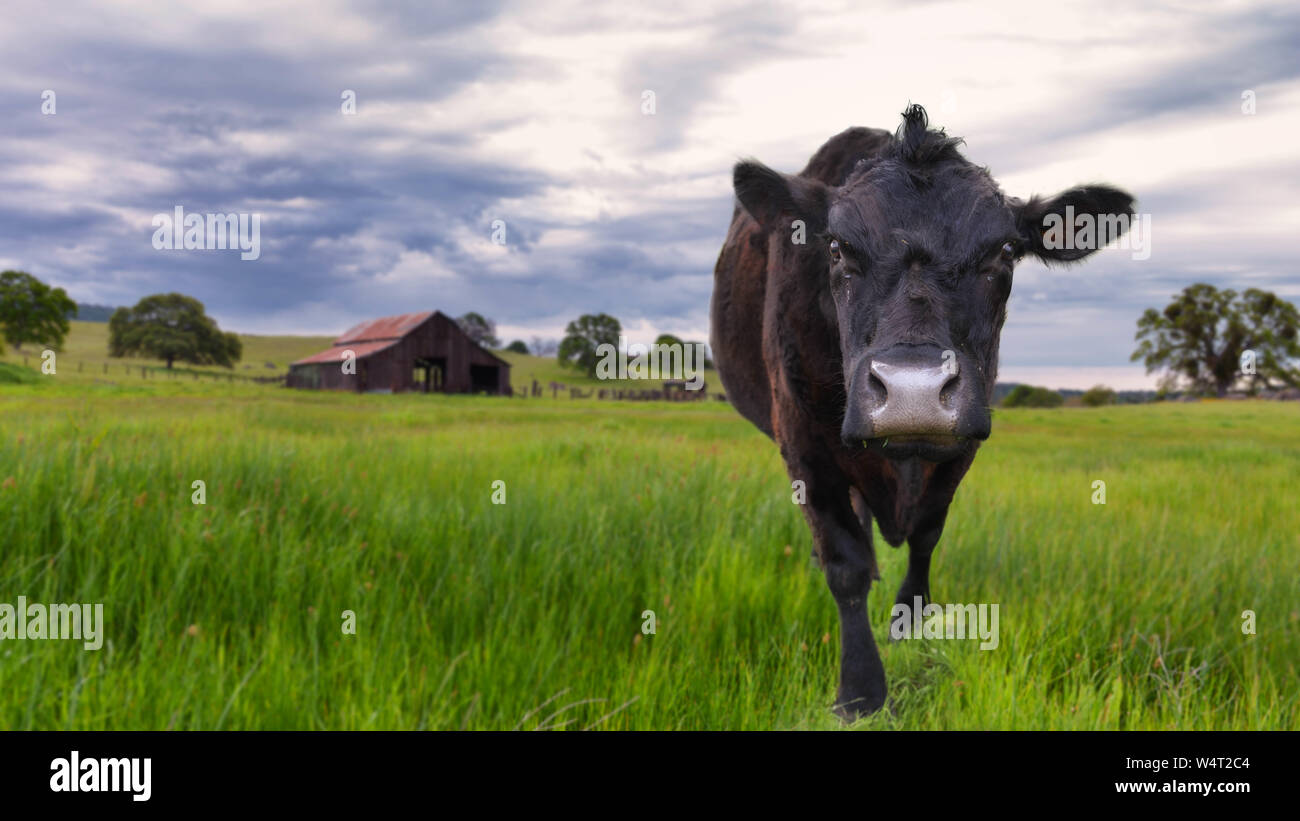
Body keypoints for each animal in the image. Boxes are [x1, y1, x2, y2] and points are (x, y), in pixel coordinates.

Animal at [717, 107, 1133, 717]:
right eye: (836, 248)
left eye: (1005, 252)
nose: (912, 390)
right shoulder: (803, 445)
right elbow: (845, 564)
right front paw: (860, 690)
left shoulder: (960, 445)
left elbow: (927, 534)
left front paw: (908, 623)